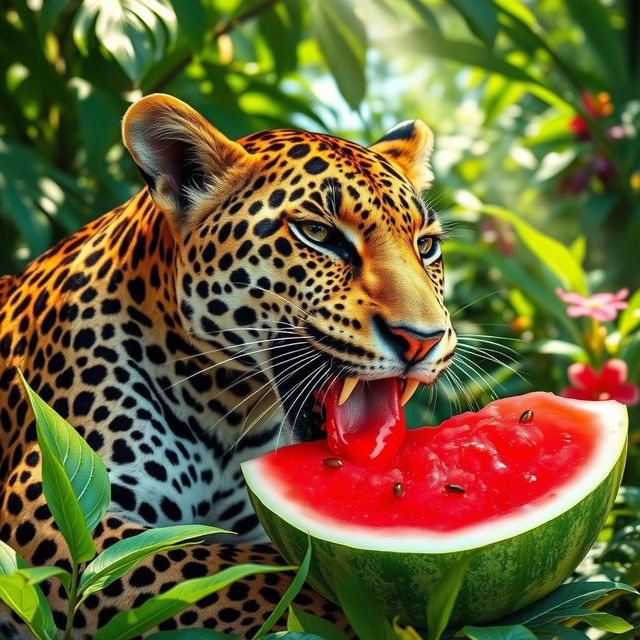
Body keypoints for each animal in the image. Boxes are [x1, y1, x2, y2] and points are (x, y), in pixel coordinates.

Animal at [1, 92, 460, 636]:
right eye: (318, 234)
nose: (421, 340)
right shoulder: (59, 509)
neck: (229, 407)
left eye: (426, 245)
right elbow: (246, 577)